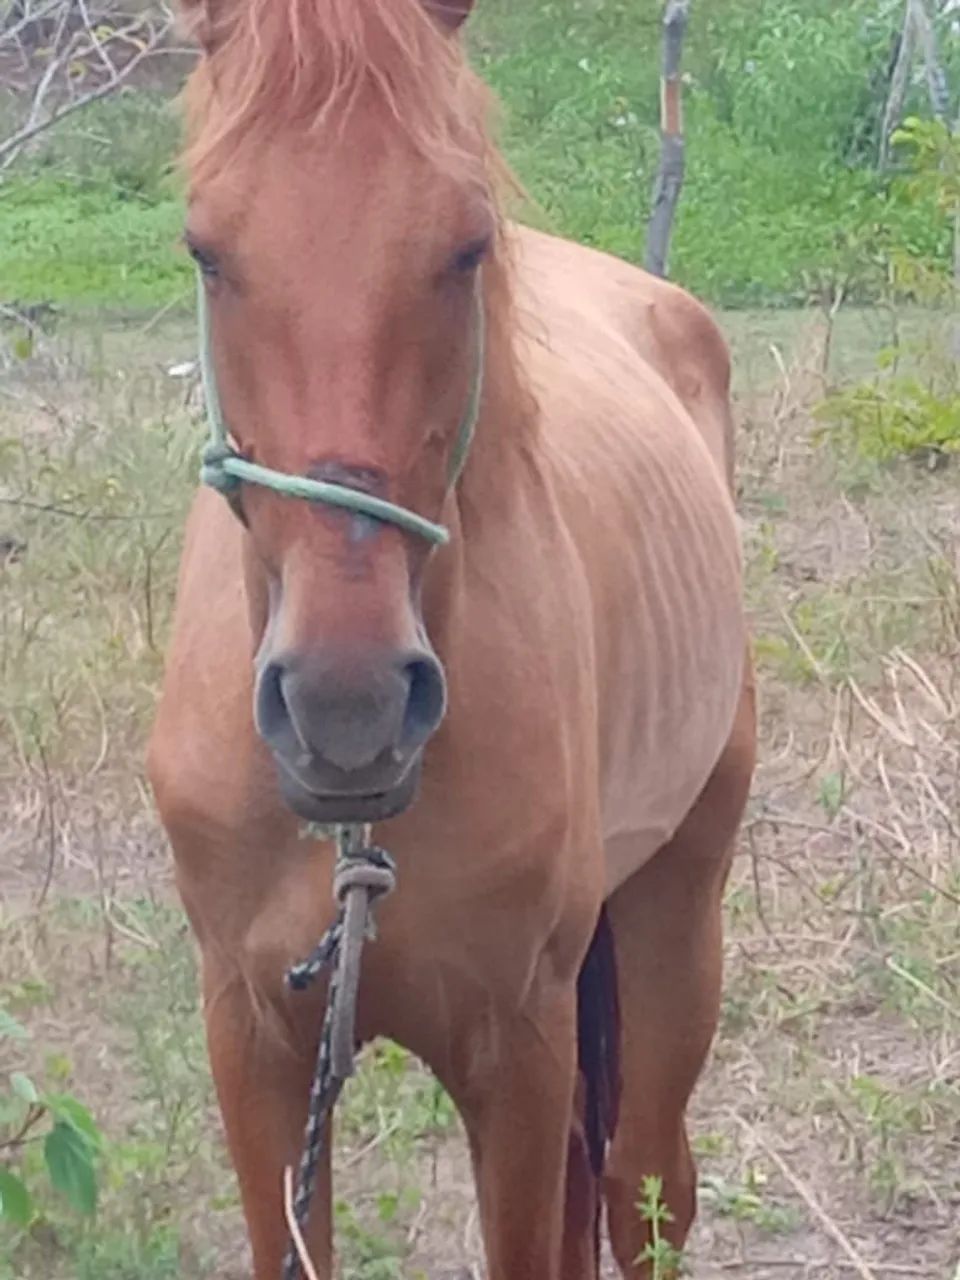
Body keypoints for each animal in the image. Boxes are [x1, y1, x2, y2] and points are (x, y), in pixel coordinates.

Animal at [147, 1, 757, 1276]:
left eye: (467, 245)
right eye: (206, 249)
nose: (348, 706)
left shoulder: (514, 1045)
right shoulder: (256, 1041)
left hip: (677, 909)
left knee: (645, 1185)